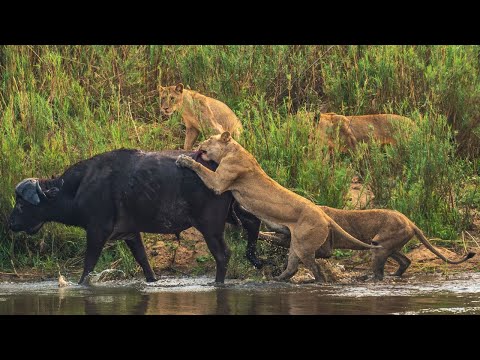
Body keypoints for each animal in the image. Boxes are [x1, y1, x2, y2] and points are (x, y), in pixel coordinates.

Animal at [7, 148, 260, 284]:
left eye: (21, 204)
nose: (10, 223)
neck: (78, 188)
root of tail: (220, 169)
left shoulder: (97, 231)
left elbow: (89, 264)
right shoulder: (130, 233)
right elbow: (143, 259)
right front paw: (153, 280)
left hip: (210, 226)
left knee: (223, 254)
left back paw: (218, 282)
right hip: (232, 213)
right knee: (253, 223)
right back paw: (255, 259)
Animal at [174, 131, 380, 282]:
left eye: (209, 138)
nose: (198, 144)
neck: (234, 150)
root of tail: (324, 215)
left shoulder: (219, 182)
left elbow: (201, 168)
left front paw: (185, 159)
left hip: (303, 245)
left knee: (316, 269)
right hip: (296, 243)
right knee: (294, 266)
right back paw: (276, 279)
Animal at [260, 205, 474, 282]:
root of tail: (411, 222)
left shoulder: (323, 249)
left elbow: (277, 239)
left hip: (381, 246)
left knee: (379, 273)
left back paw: (367, 278)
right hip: (387, 246)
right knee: (405, 261)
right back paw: (393, 275)